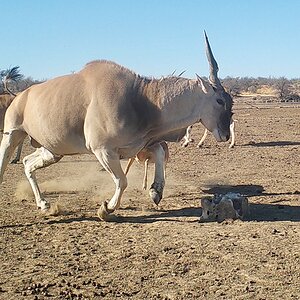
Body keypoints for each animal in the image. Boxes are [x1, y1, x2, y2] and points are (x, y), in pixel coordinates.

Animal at [0, 32, 233, 220]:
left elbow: (158, 154)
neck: (143, 98)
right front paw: (106, 208)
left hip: (52, 151)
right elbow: (122, 181)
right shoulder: (103, 151)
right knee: (6, 163)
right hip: (12, 135)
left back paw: (43, 204)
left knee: (28, 163)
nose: (225, 134)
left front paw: (155, 191)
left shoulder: (139, 145)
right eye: (220, 101)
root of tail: (20, 96)